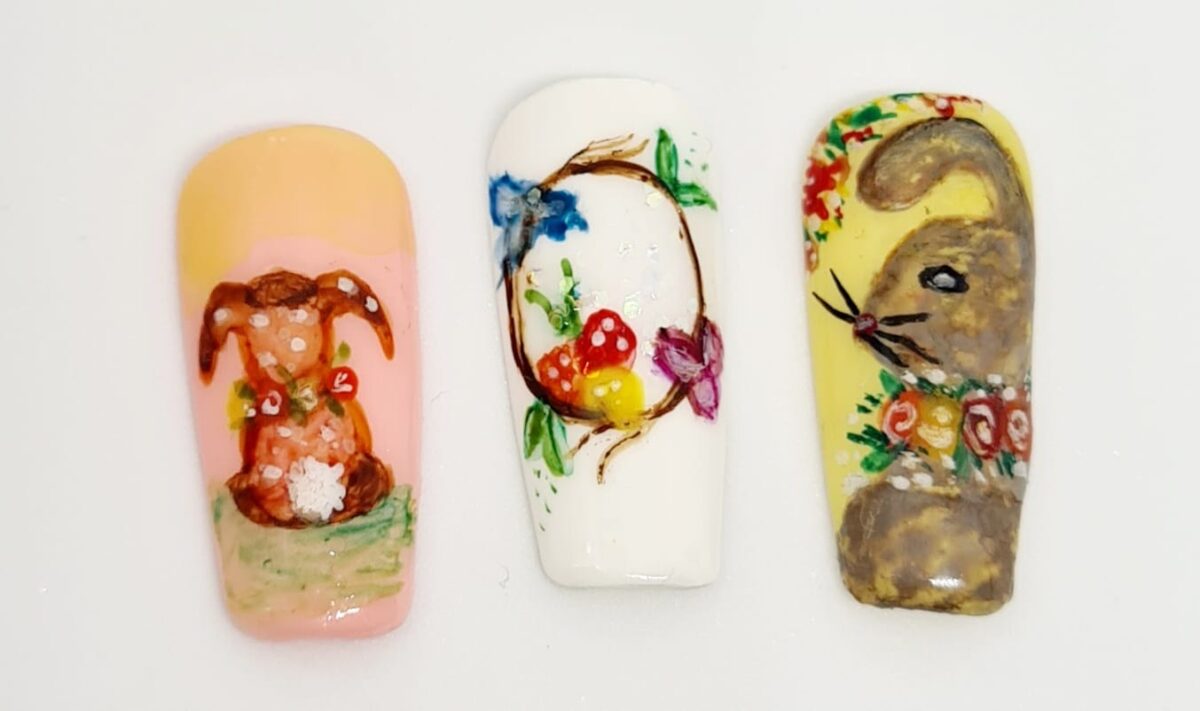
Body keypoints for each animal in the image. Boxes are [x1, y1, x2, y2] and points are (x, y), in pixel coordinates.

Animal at [198, 269, 396, 528]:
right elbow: (257, 498)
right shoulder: (259, 484)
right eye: (254, 325)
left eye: (305, 314)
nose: (278, 364)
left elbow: (370, 478)